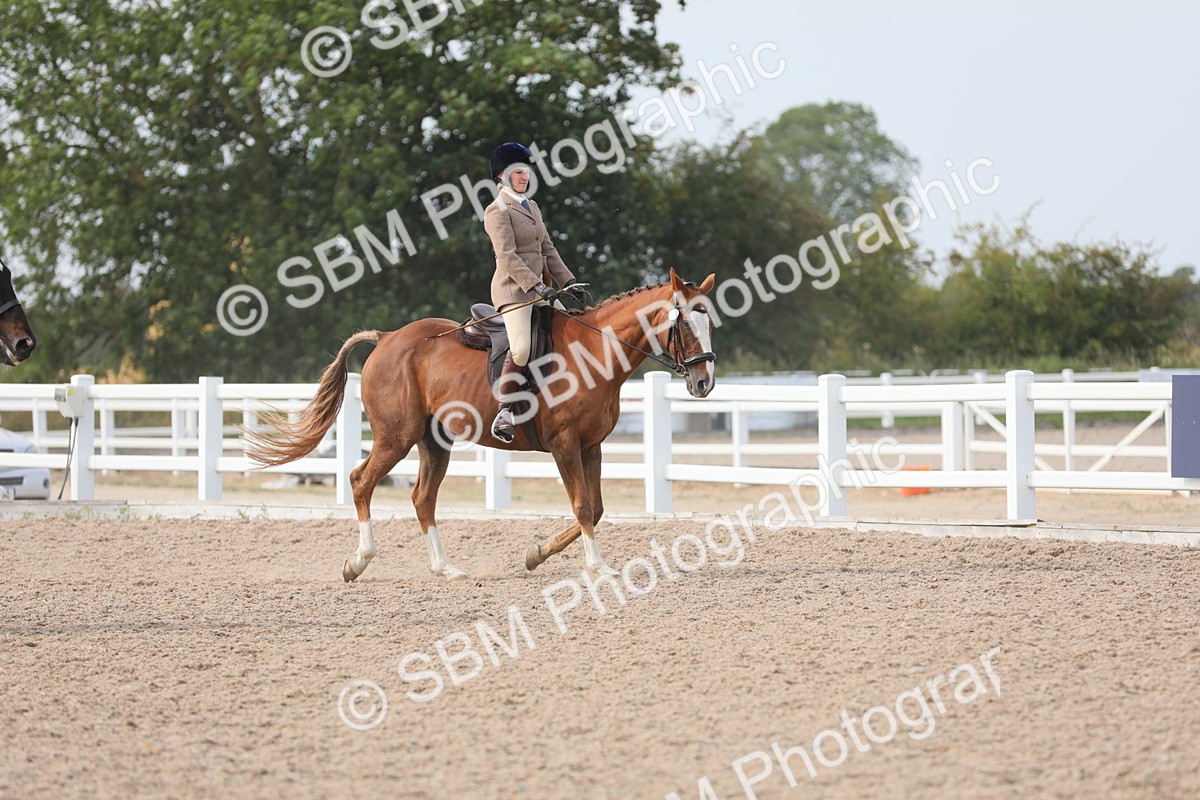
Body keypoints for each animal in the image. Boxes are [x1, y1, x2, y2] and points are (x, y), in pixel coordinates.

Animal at [245, 268, 716, 581]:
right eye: (684, 321)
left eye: (709, 320)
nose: (704, 382)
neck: (595, 352)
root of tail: (387, 338)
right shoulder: (565, 444)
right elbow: (583, 506)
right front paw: (597, 565)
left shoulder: (590, 445)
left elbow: (596, 508)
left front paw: (535, 554)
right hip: (396, 437)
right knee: (361, 481)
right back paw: (357, 562)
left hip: (435, 442)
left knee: (423, 498)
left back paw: (445, 568)